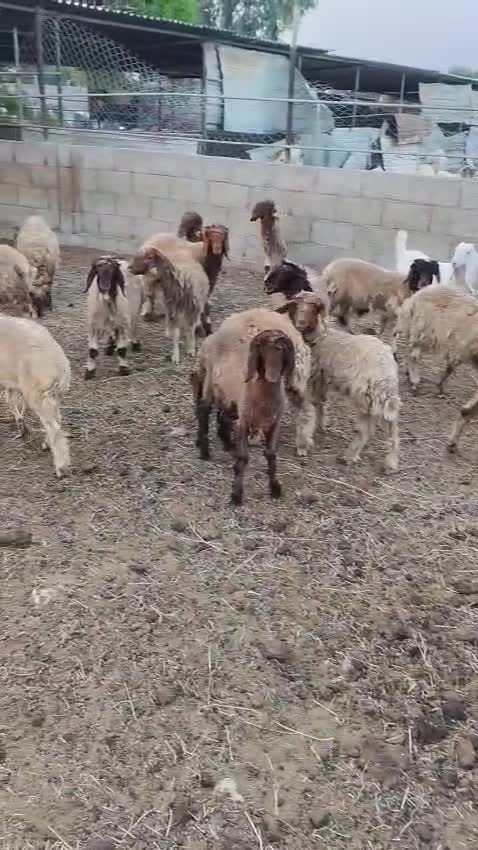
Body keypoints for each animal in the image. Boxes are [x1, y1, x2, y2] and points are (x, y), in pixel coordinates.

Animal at [0, 314, 70, 477]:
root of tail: (58, 365)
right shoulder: (12, 382)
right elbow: (10, 399)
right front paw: (21, 426)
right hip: (52, 396)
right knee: (57, 419)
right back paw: (46, 444)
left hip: (38, 395)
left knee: (53, 426)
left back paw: (60, 467)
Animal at [192, 328, 295, 504]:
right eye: (262, 351)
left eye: (281, 350)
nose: (272, 376)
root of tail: (214, 334)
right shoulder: (244, 423)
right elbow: (243, 458)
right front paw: (236, 494)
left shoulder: (274, 423)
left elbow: (271, 455)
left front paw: (275, 488)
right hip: (209, 380)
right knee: (203, 409)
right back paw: (204, 451)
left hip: (227, 396)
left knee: (222, 415)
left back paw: (226, 444)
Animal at [274, 289, 401, 474]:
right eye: (296, 305)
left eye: (314, 307)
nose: (301, 322)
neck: (320, 337)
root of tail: (387, 367)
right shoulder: (321, 378)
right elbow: (321, 402)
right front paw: (322, 424)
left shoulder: (313, 377)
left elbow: (312, 405)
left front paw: (309, 433)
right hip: (383, 398)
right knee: (392, 430)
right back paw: (390, 463)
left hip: (364, 395)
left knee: (365, 429)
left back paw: (349, 456)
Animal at [394, 286, 478, 453]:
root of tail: (418, 295)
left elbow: (450, 367)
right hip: (425, 327)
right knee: (413, 354)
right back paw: (414, 381)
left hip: (422, 329)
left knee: (410, 350)